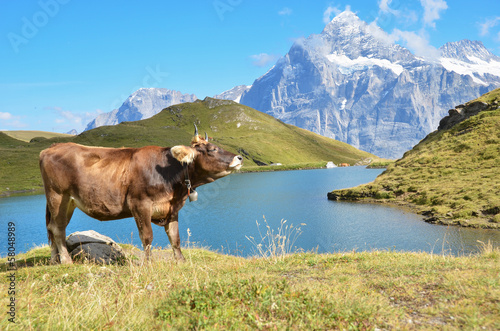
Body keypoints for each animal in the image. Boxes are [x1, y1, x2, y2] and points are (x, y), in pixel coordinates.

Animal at [39, 126, 242, 266]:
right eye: (212, 149)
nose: (239, 158)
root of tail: (51, 147)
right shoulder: (140, 204)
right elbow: (147, 237)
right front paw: (148, 263)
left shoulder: (172, 208)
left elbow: (175, 237)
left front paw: (181, 261)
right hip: (58, 197)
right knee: (57, 228)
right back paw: (66, 261)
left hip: (68, 203)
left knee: (52, 227)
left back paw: (54, 260)